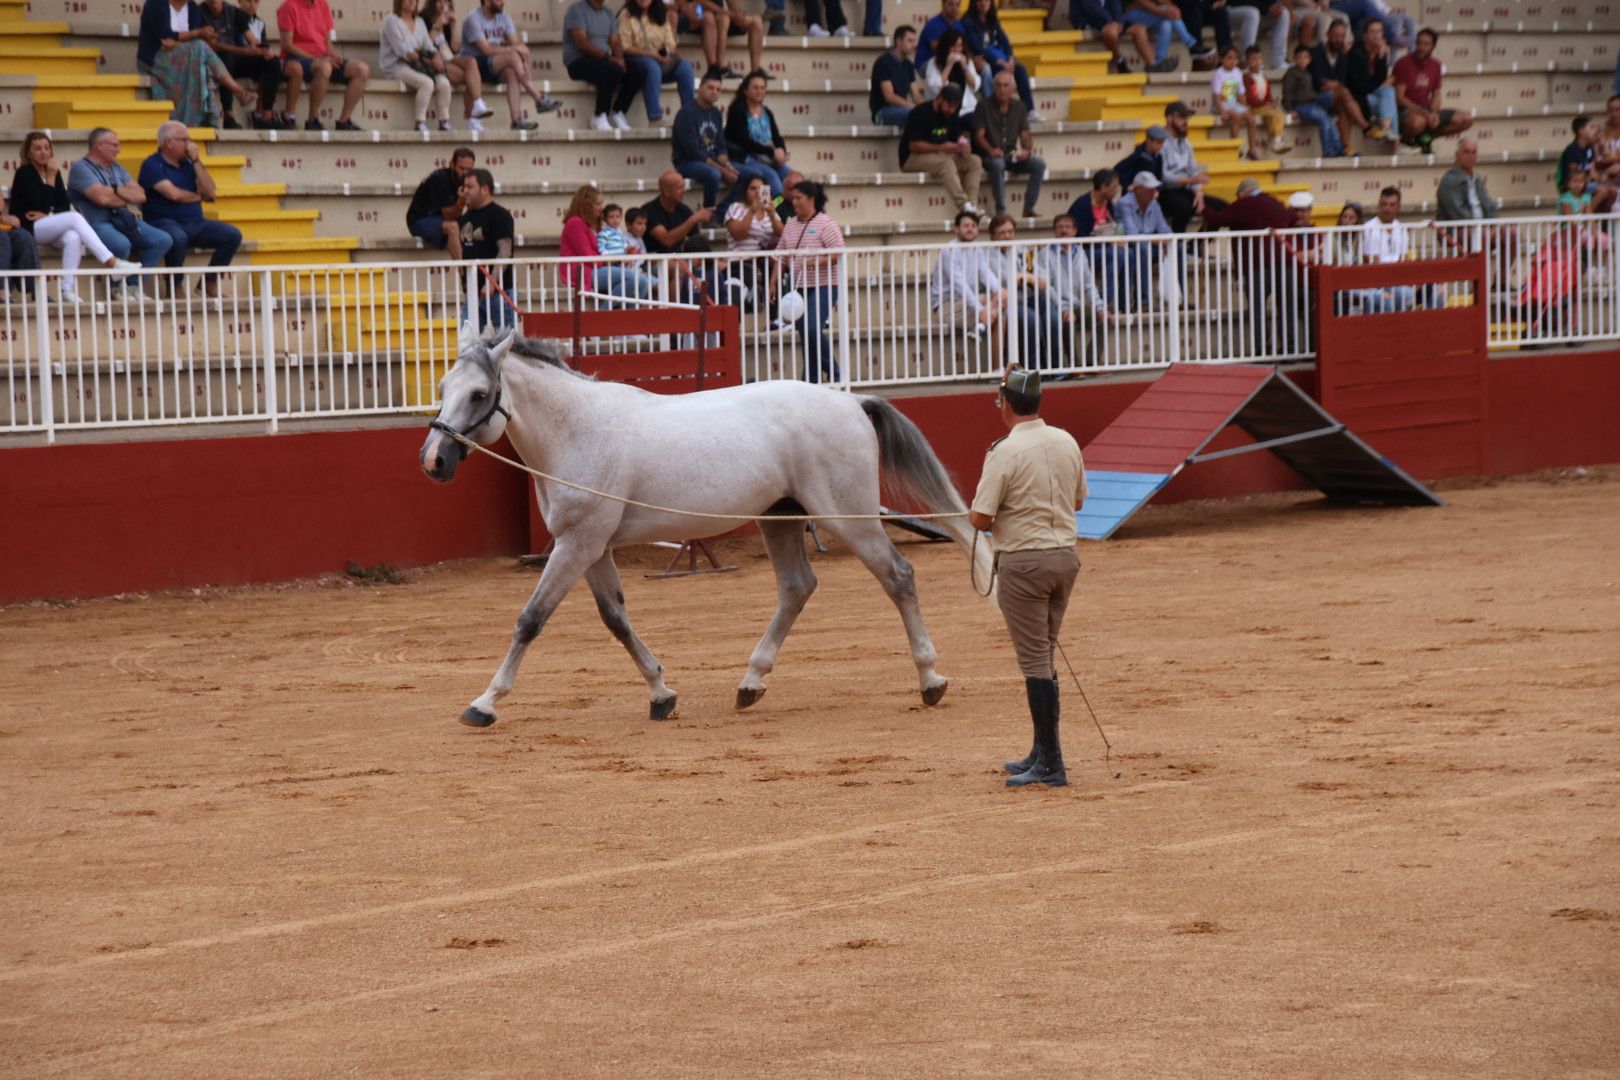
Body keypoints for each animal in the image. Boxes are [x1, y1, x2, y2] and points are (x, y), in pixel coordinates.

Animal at [417, 330, 984, 731]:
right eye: (443, 389)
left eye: (480, 393)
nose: (434, 461)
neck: (579, 431)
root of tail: (850, 402)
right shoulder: (592, 548)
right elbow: (616, 620)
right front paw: (661, 694)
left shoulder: (577, 546)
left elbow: (530, 620)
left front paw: (485, 703)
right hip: (781, 519)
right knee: (797, 588)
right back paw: (751, 683)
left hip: (846, 518)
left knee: (899, 576)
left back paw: (930, 679)